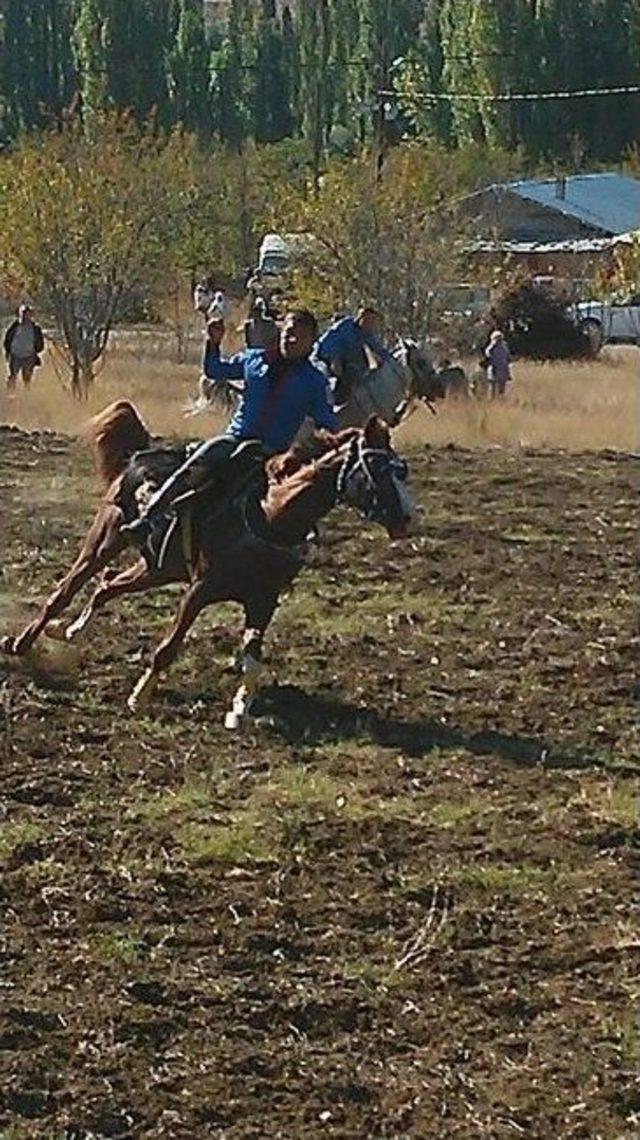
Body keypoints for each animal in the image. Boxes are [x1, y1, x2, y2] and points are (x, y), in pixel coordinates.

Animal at [2, 401, 415, 720]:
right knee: (65, 591)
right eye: (379, 470)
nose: (407, 518)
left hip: (158, 568)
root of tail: (139, 456)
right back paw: (23, 643)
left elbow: (253, 659)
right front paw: (139, 697)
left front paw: (239, 708)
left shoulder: (263, 601)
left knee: (107, 586)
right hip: (104, 542)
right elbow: (168, 648)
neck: (268, 517)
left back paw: (70, 632)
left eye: (402, 470)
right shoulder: (199, 591)